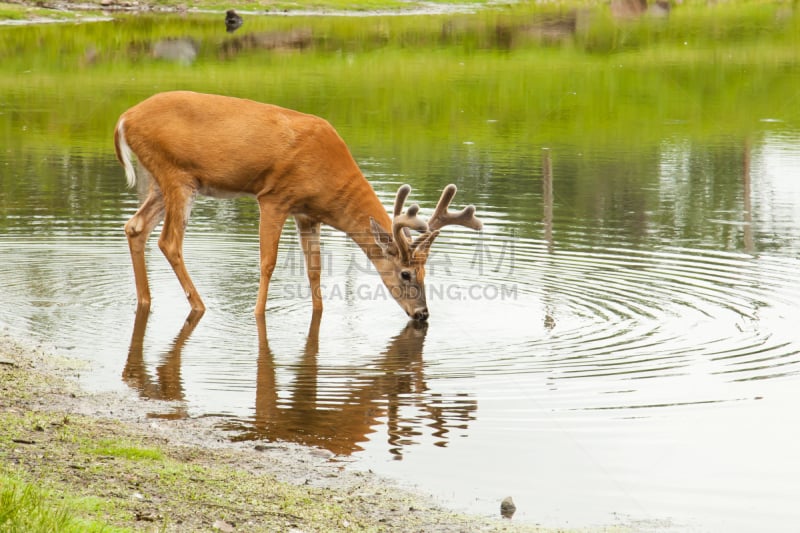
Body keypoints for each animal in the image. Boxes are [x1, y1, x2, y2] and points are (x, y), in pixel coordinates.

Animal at [112, 90, 482, 320]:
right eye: (406, 273)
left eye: (425, 272)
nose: (422, 315)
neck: (328, 173)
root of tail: (123, 119)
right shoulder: (274, 197)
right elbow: (268, 262)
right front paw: (258, 314)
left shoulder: (308, 214)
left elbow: (314, 268)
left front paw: (319, 312)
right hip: (176, 175)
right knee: (169, 241)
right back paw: (199, 306)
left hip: (161, 181)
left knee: (135, 227)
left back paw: (145, 300)